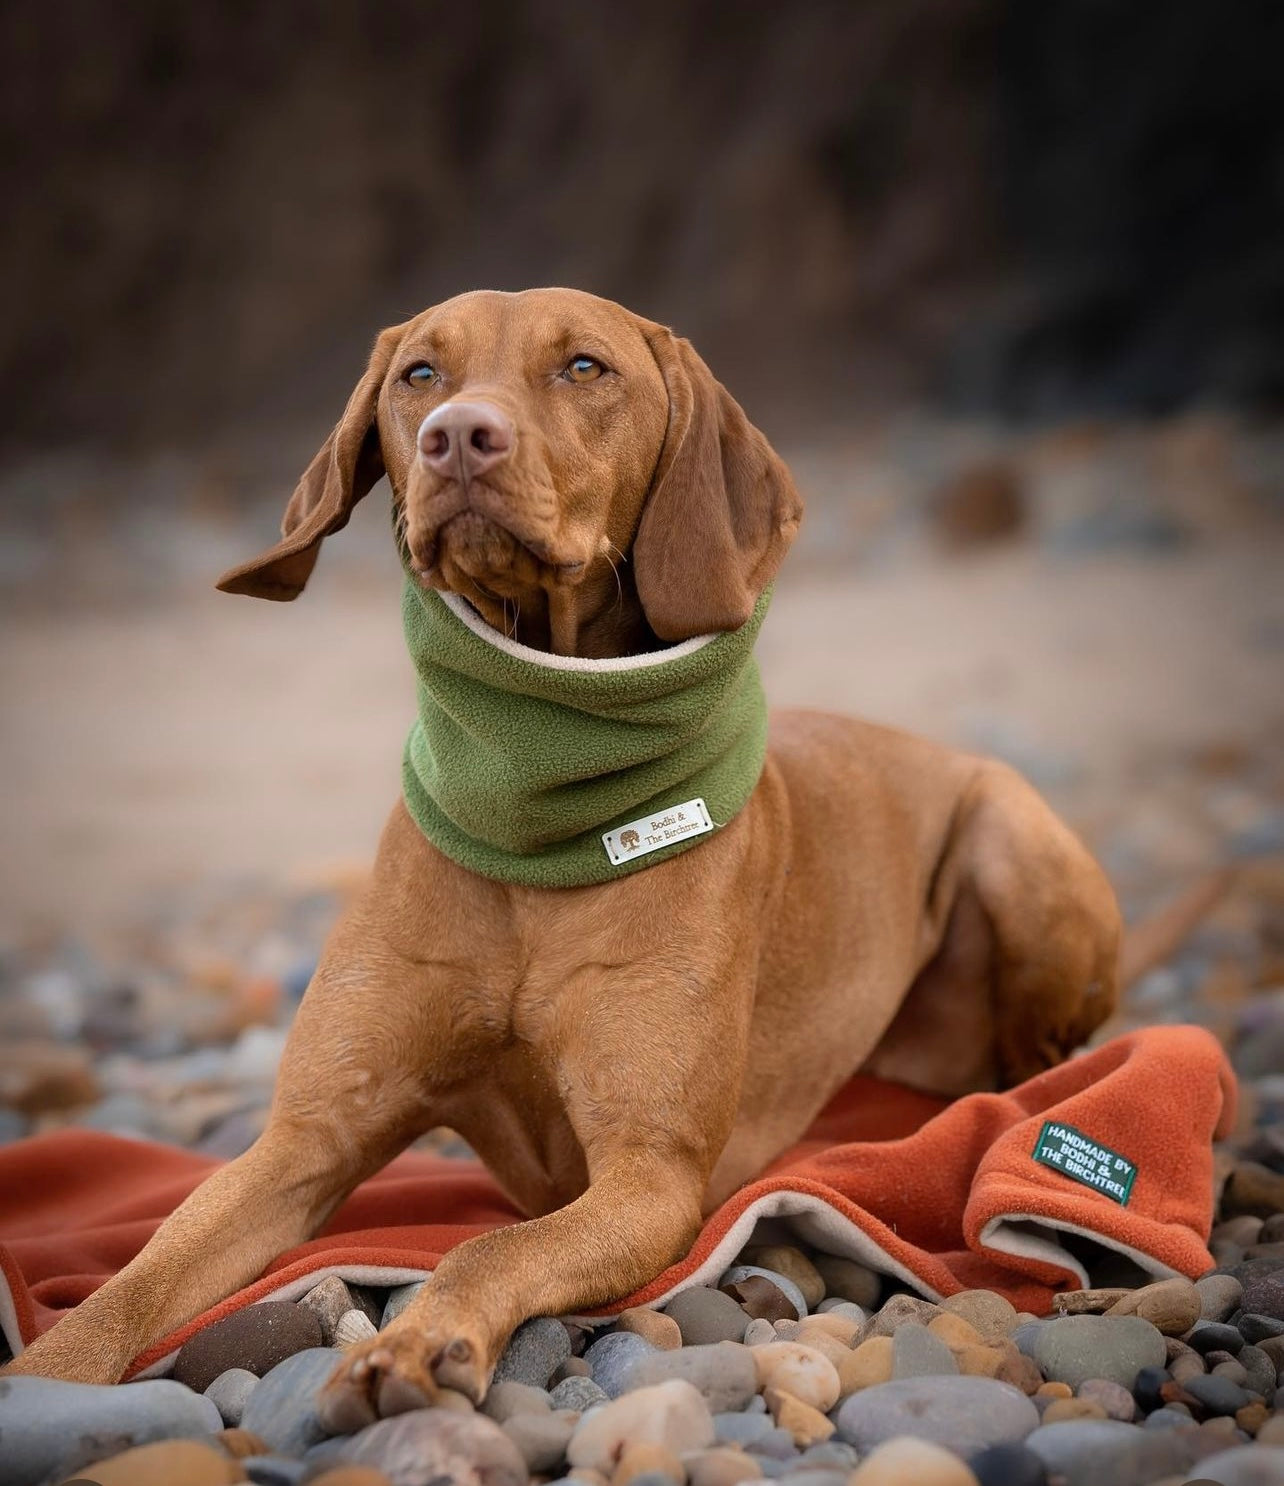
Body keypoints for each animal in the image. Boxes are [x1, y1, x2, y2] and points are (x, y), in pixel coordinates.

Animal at [7, 289, 1123, 1426]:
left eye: (585, 367)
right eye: (419, 374)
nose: (458, 434)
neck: (536, 842)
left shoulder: (649, 1175)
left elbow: (489, 1247)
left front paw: (421, 1340)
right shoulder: (303, 1139)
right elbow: (136, 1278)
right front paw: (44, 1380)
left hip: (1014, 836)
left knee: (1042, 1063)